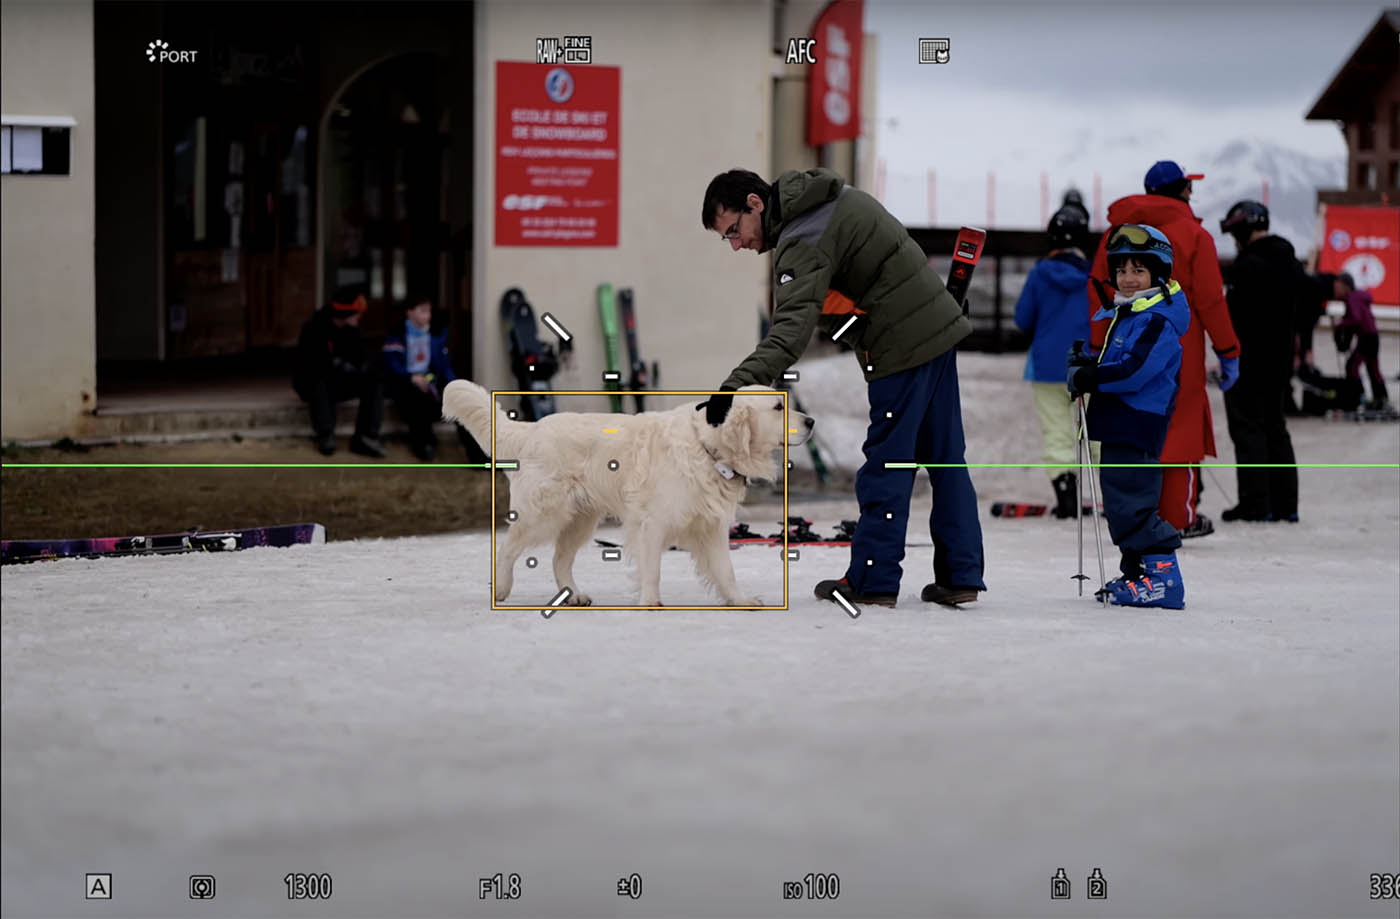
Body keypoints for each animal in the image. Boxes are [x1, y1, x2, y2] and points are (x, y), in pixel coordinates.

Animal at [442, 381, 817, 610]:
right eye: (778, 408)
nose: (812, 421)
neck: (707, 448)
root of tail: (532, 429)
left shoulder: (710, 526)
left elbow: (726, 571)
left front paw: (739, 600)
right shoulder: (652, 523)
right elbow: (652, 569)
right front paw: (650, 602)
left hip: (580, 521)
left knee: (559, 560)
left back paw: (573, 595)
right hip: (543, 514)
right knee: (506, 548)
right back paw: (501, 588)